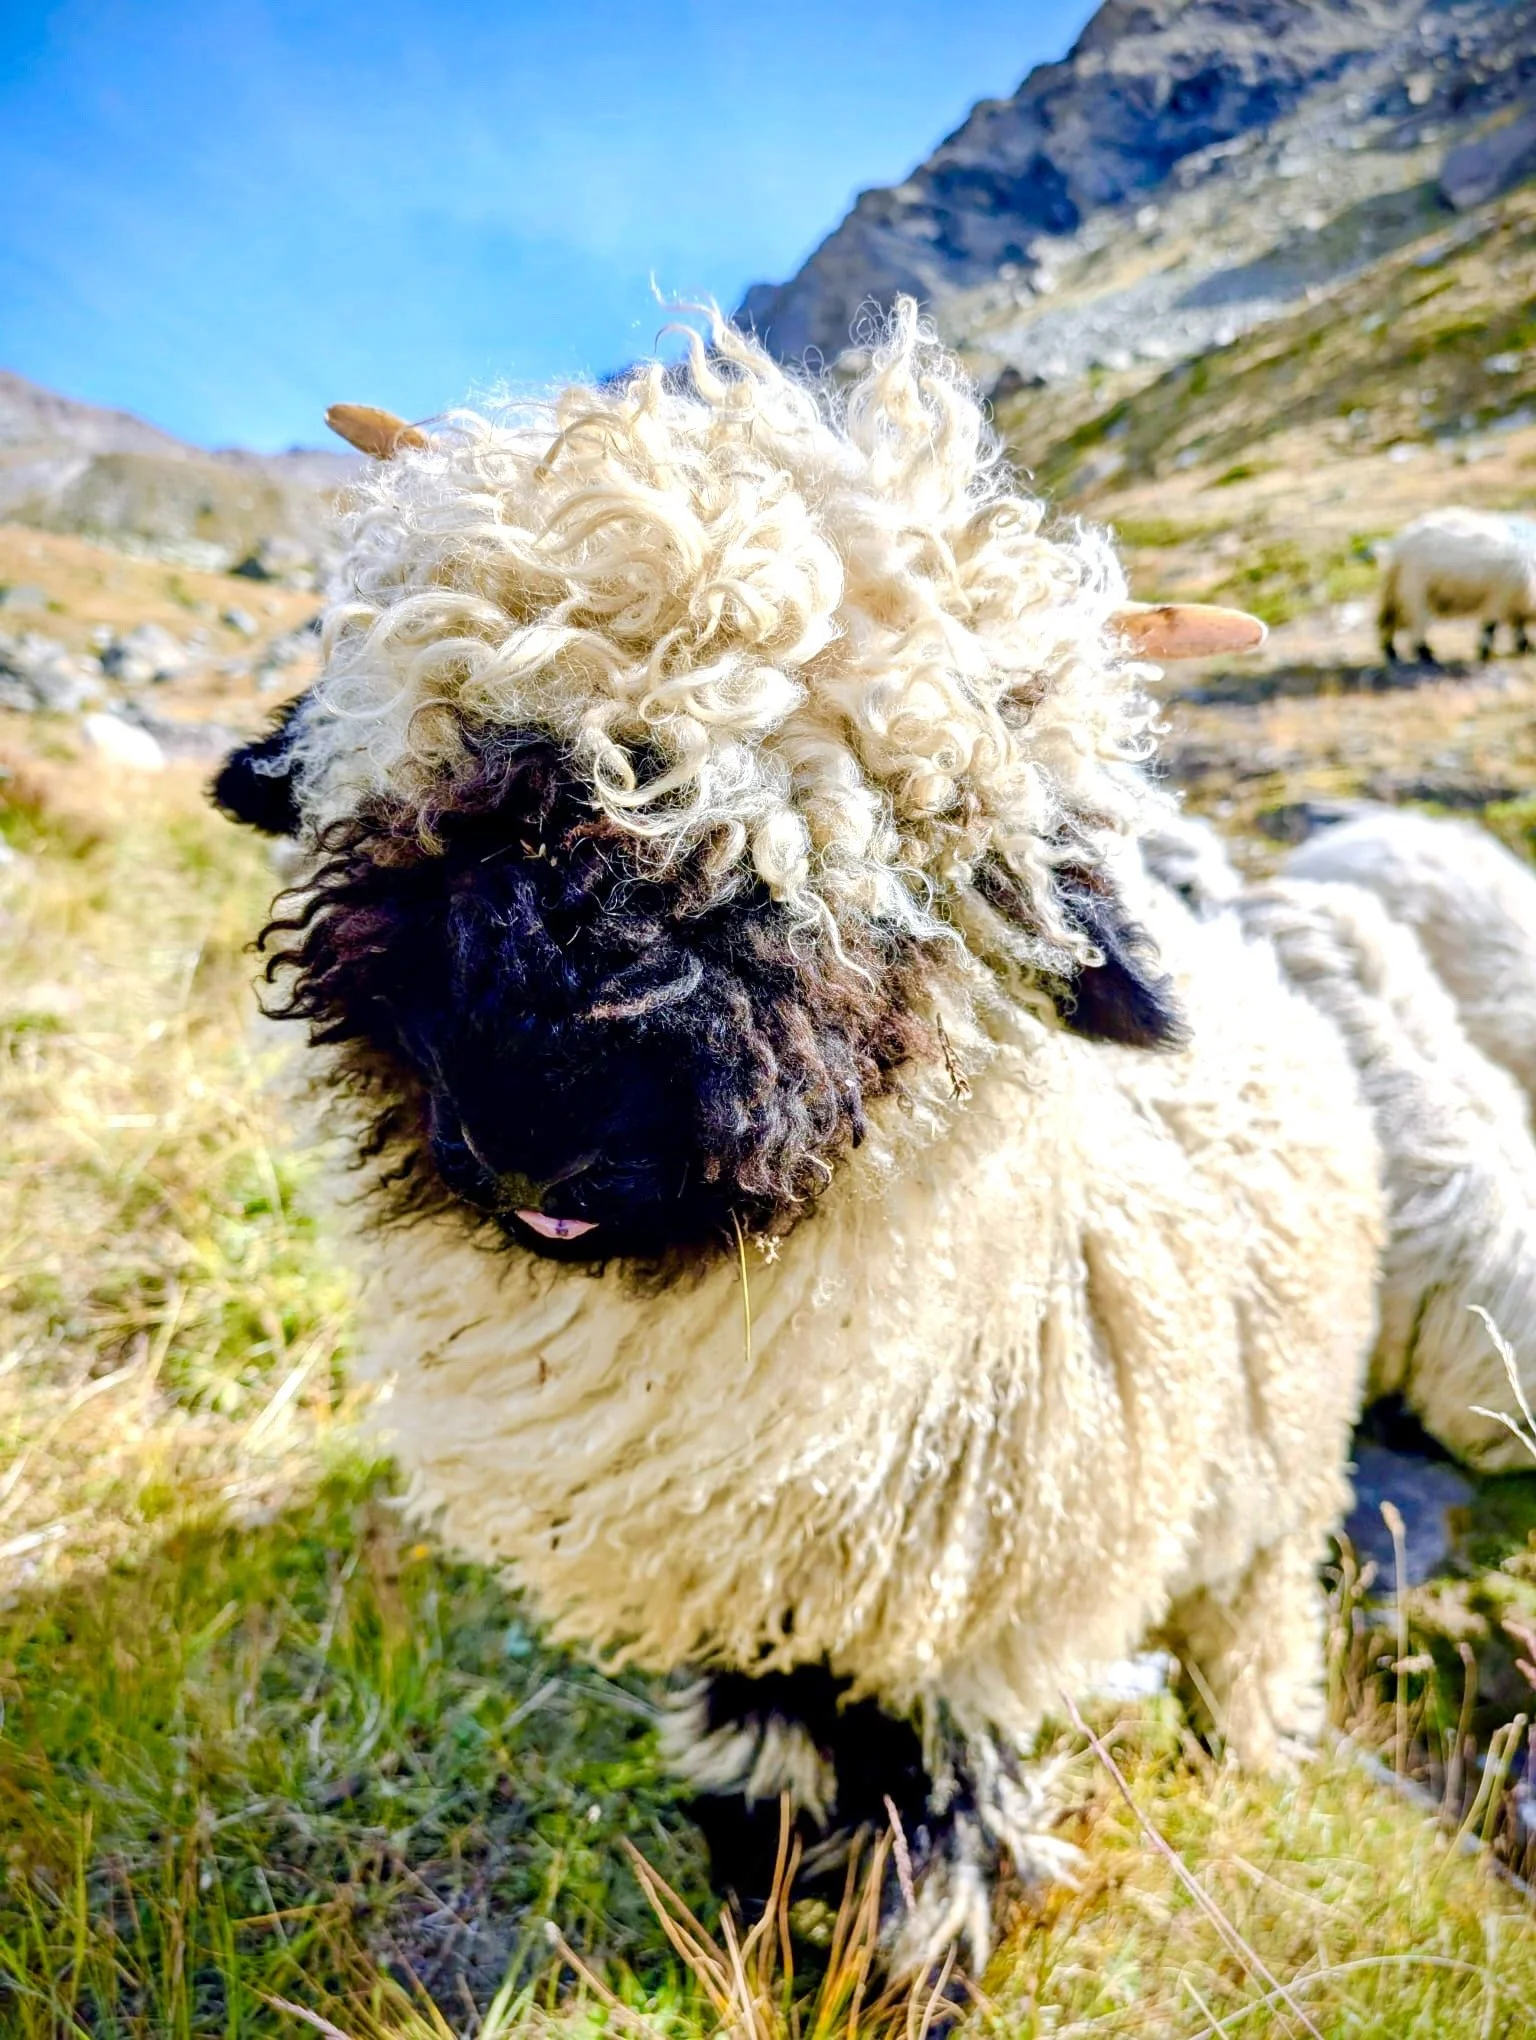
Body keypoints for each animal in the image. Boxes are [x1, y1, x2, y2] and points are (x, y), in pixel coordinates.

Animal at [211, 304, 1383, 1976]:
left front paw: (900, 1970)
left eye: (903, 859)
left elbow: (937, 1812)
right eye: (472, 767)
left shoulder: (957, 1611)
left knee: (1253, 1608)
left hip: (1273, 1477)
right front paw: (755, 1903)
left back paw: (1255, 1739)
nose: (537, 1125)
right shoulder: (756, 1578)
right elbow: (769, 1744)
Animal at [1377, 506, 1536, 666]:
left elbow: (1517, 623)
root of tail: (1400, 544)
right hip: (1415, 588)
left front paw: (1524, 645)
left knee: (1391, 619)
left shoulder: (1514, 600)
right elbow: (1490, 626)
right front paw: (1484, 653)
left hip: (1398, 590)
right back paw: (1426, 654)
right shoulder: (1500, 595)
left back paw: (1391, 650)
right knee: (1416, 624)